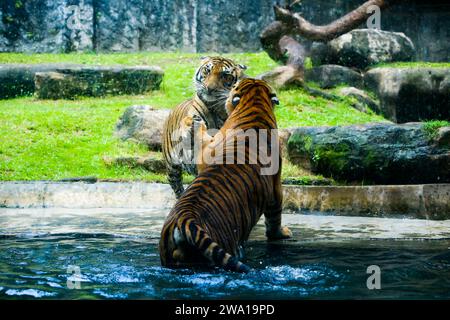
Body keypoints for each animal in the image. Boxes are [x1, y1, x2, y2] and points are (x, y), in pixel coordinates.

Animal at [162, 56, 248, 199]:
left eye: (226, 76)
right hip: (171, 165)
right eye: (207, 70)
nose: (209, 88)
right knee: (176, 183)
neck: (218, 110)